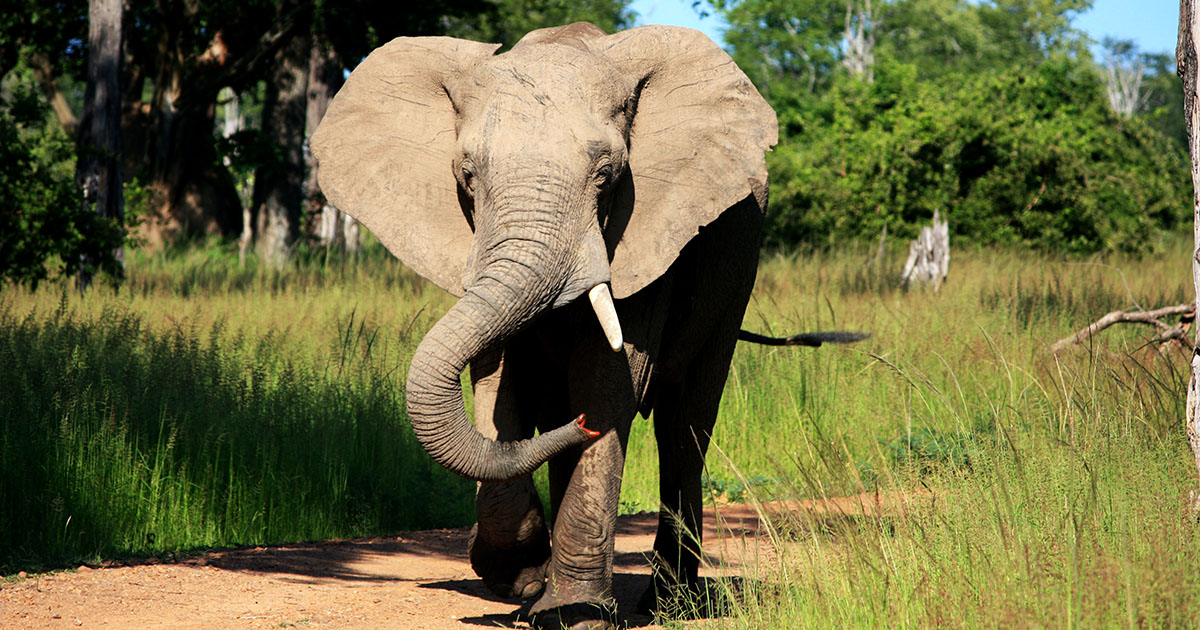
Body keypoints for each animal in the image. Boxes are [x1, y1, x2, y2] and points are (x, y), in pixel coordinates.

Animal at [309, 22, 777, 624]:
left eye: (607, 176)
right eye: (467, 176)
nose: (583, 427)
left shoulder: (647, 232)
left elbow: (609, 383)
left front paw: (577, 614)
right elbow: (494, 384)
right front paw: (520, 578)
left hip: (738, 274)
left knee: (684, 425)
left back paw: (670, 603)